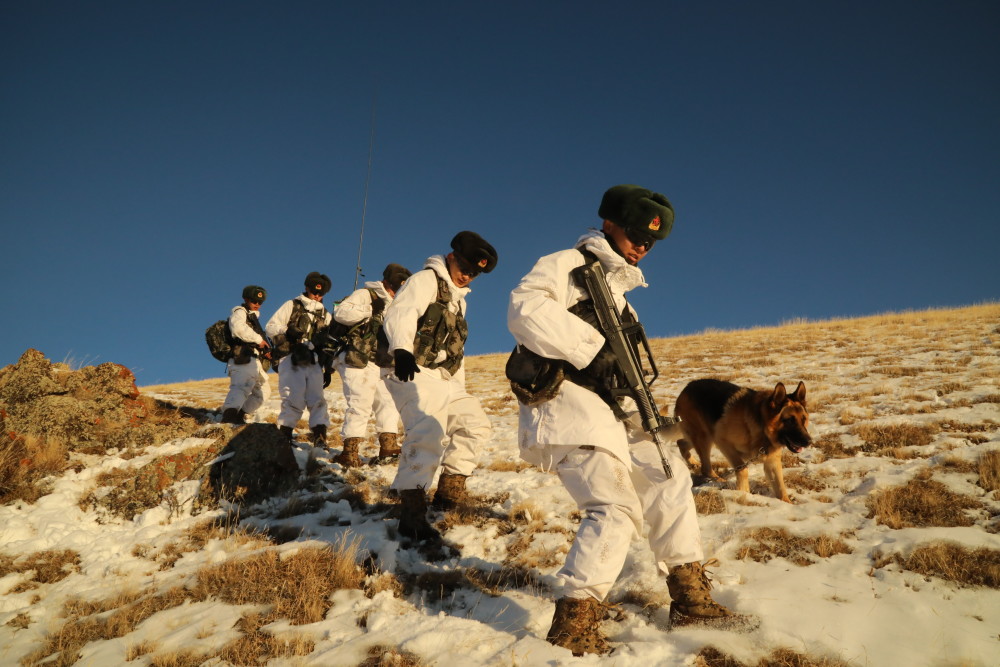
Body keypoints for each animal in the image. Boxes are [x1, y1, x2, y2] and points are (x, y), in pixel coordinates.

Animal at [664, 380, 812, 500]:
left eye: (803, 420)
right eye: (790, 420)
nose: (809, 442)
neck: (761, 424)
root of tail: (686, 389)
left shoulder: (772, 463)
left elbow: (780, 488)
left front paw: (787, 503)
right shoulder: (723, 442)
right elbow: (742, 469)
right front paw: (743, 491)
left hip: (700, 436)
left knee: (681, 442)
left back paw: (693, 462)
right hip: (705, 438)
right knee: (705, 468)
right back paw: (719, 480)